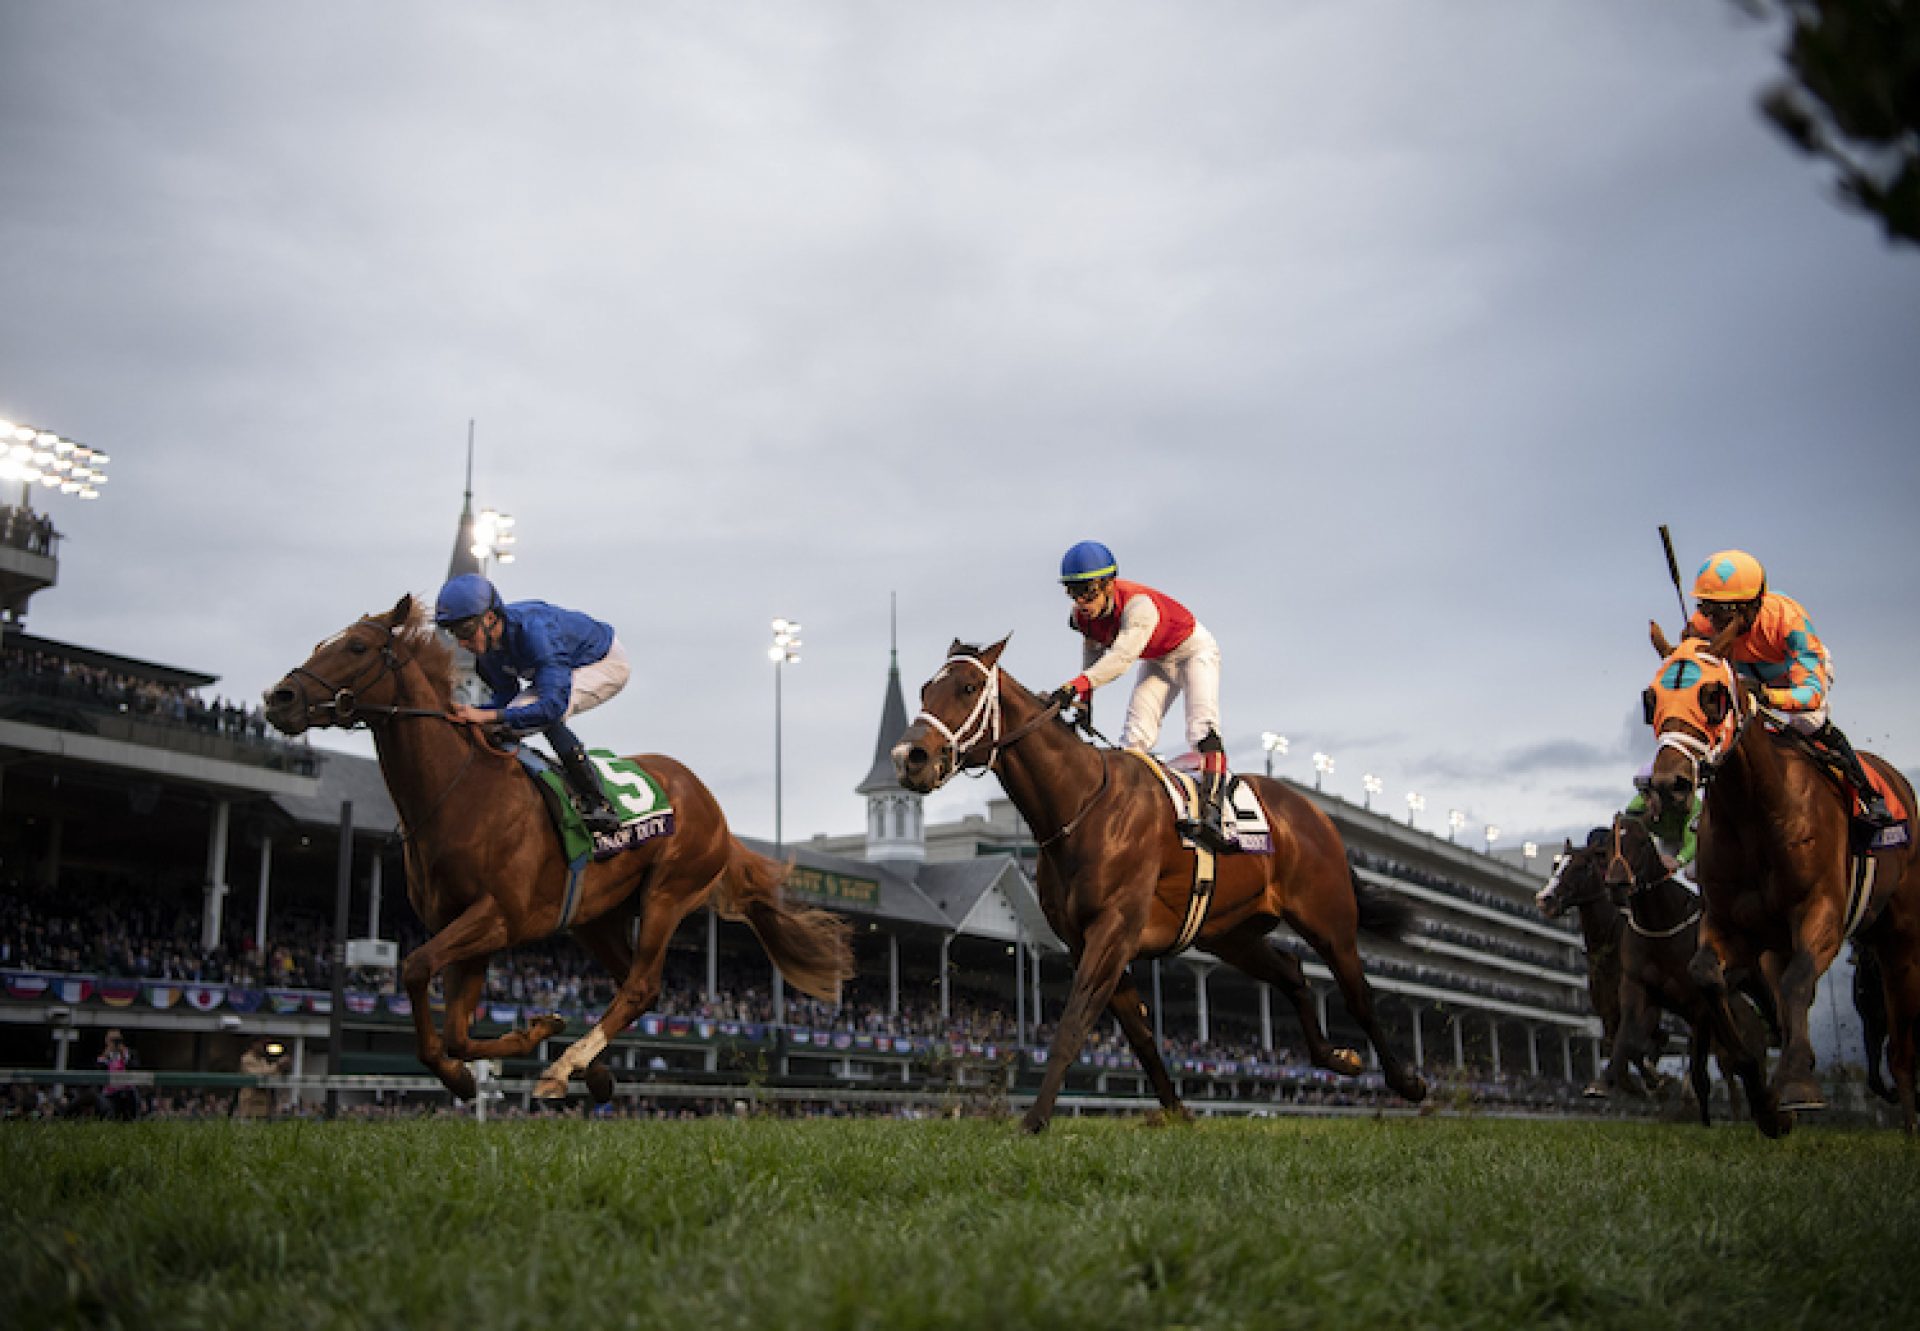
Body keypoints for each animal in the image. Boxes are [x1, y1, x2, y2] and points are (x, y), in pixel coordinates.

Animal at [264, 595, 856, 1098]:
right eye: (321, 644)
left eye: (356, 648)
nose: (279, 698)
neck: (461, 792)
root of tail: (718, 816)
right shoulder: (467, 929)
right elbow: (455, 1031)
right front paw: (500, 1050)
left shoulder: (497, 916)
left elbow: (413, 967)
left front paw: (475, 1069)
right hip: (596, 917)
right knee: (634, 984)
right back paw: (592, 1069)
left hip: (668, 893)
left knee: (641, 985)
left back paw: (564, 1067)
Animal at [887, 641, 1428, 1129]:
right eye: (925, 688)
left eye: (967, 687)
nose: (908, 756)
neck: (1081, 805)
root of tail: (1316, 813)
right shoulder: (1087, 940)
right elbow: (1140, 1033)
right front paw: (1177, 1110)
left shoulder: (1113, 929)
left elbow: (1073, 1024)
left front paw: (1034, 1121)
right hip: (1231, 935)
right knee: (1293, 973)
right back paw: (1338, 1058)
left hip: (1328, 919)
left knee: (1358, 996)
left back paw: (1408, 1082)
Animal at [1635, 622, 1920, 1129]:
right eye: (1650, 699)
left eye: (1713, 695)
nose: (1669, 785)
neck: (1756, 812)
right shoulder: (1730, 925)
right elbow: (1707, 975)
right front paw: (1764, 1097)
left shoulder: (1821, 912)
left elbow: (1798, 983)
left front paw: (1797, 1085)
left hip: (1900, 936)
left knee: (1901, 1041)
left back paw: (1907, 1120)